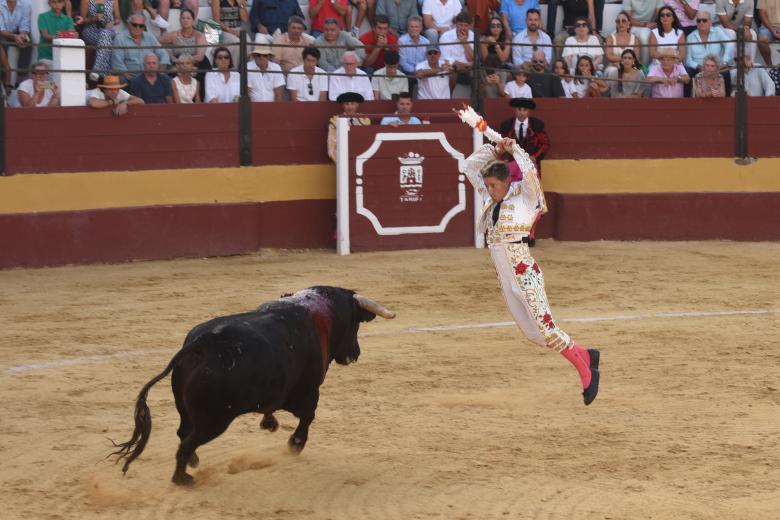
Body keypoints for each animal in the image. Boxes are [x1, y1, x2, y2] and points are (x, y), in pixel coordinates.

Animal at [109, 286, 396, 486]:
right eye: (355, 324)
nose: (355, 353)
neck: (316, 314)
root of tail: (201, 344)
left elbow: (273, 409)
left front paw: (269, 424)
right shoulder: (308, 391)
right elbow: (308, 417)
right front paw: (294, 445)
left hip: (186, 409)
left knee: (182, 433)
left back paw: (193, 463)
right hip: (214, 420)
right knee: (187, 442)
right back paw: (183, 479)